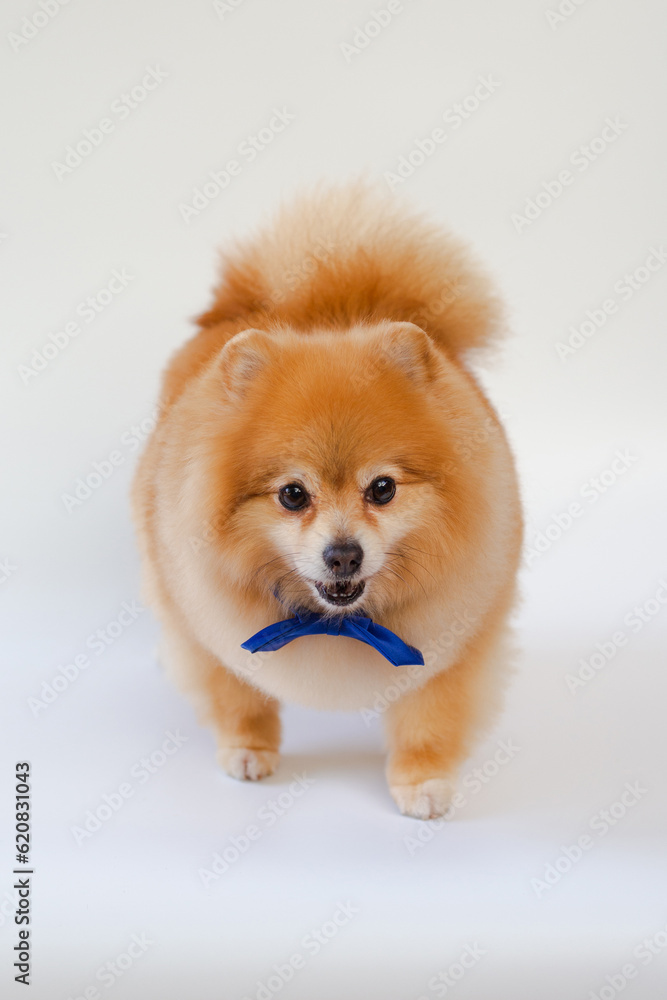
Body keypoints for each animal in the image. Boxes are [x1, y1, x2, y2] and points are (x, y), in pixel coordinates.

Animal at [133, 184, 524, 816]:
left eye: (382, 489)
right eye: (293, 495)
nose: (344, 554)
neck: (335, 622)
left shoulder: (458, 640)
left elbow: (430, 719)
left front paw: (422, 782)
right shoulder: (210, 622)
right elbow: (236, 694)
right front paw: (248, 749)